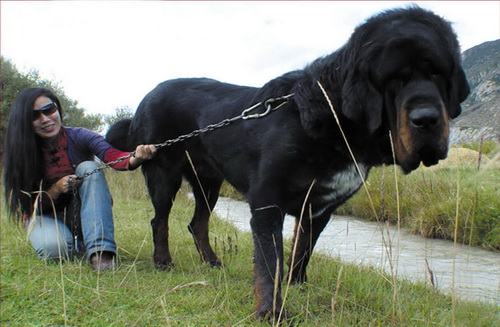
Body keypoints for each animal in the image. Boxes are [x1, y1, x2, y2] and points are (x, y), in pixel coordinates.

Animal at [106, 6, 468, 322]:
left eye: (438, 72)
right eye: (394, 77)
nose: (427, 119)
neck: (330, 118)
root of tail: (144, 100)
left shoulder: (318, 209)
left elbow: (301, 252)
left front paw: (298, 285)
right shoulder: (268, 204)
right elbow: (270, 264)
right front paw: (272, 311)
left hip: (208, 183)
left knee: (198, 224)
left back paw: (212, 262)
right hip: (164, 174)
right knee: (159, 221)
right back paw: (163, 262)